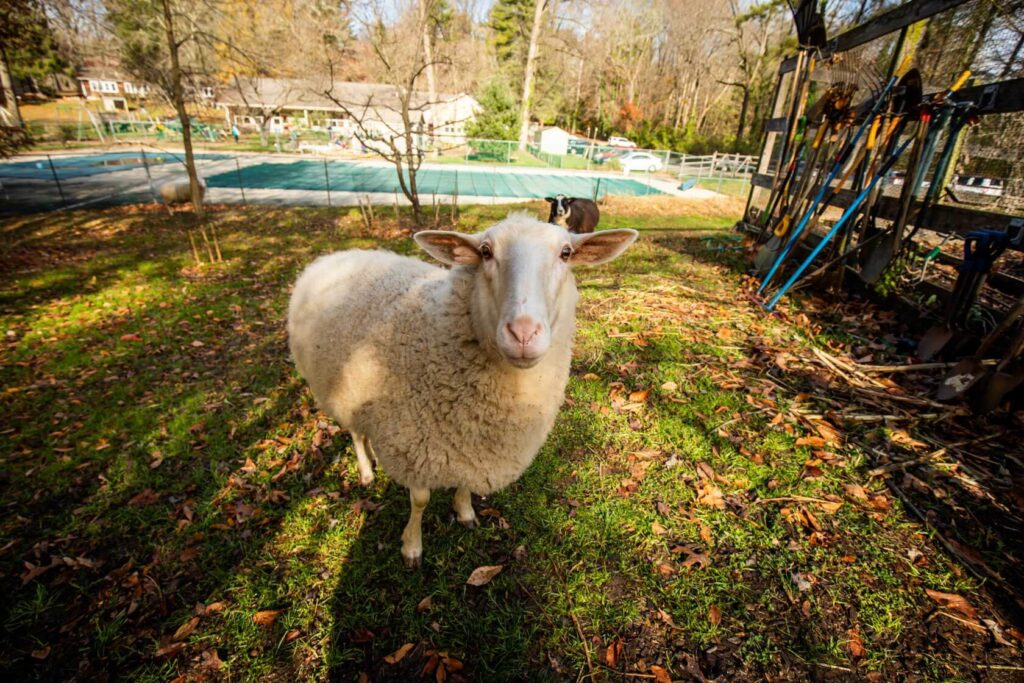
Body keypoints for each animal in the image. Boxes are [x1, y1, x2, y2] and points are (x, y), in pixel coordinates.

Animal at [287, 214, 638, 566]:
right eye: (485, 251)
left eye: (566, 253)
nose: (523, 334)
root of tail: (334, 255)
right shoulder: (413, 446)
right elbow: (420, 499)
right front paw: (412, 546)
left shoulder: (471, 446)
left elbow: (465, 482)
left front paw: (465, 511)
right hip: (339, 388)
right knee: (356, 434)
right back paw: (365, 471)